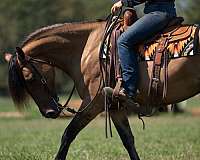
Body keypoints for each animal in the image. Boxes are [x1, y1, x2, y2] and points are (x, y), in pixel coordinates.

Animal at [4, 10, 200, 159]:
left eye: (29, 77)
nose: (49, 112)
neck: (87, 48)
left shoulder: (94, 102)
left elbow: (68, 133)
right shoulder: (114, 106)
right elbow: (128, 140)